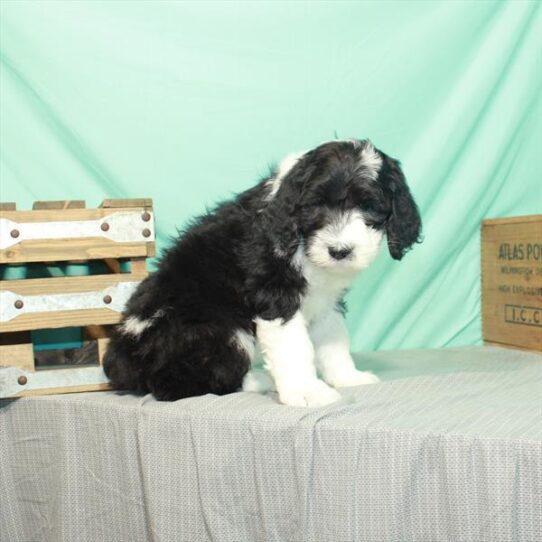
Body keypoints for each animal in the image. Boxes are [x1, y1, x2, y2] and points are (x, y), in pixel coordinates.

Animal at [104, 140, 422, 408]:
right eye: (316, 206)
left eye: (369, 207)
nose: (339, 251)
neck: (297, 236)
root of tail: (126, 353)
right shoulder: (275, 295)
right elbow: (294, 347)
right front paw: (307, 391)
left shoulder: (325, 299)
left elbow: (334, 339)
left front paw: (347, 376)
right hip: (216, 328)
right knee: (182, 384)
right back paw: (259, 380)